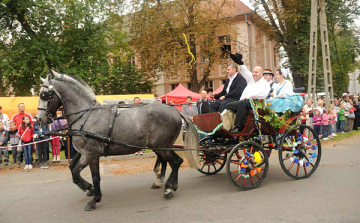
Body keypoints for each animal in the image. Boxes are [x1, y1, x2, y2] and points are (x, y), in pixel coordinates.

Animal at [36, 71, 200, 211]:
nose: (39, 119)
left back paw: (169, 188)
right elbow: (74, 171)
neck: (86, 116)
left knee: (176, 162)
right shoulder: (85, 154)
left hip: (162, 146)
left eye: (44, 95)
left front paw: (95, 199)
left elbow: (96, 177)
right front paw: (89, 188)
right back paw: (163, 183)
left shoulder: (91, 154)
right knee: (169, 161)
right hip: (160, 147)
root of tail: (175, 111)